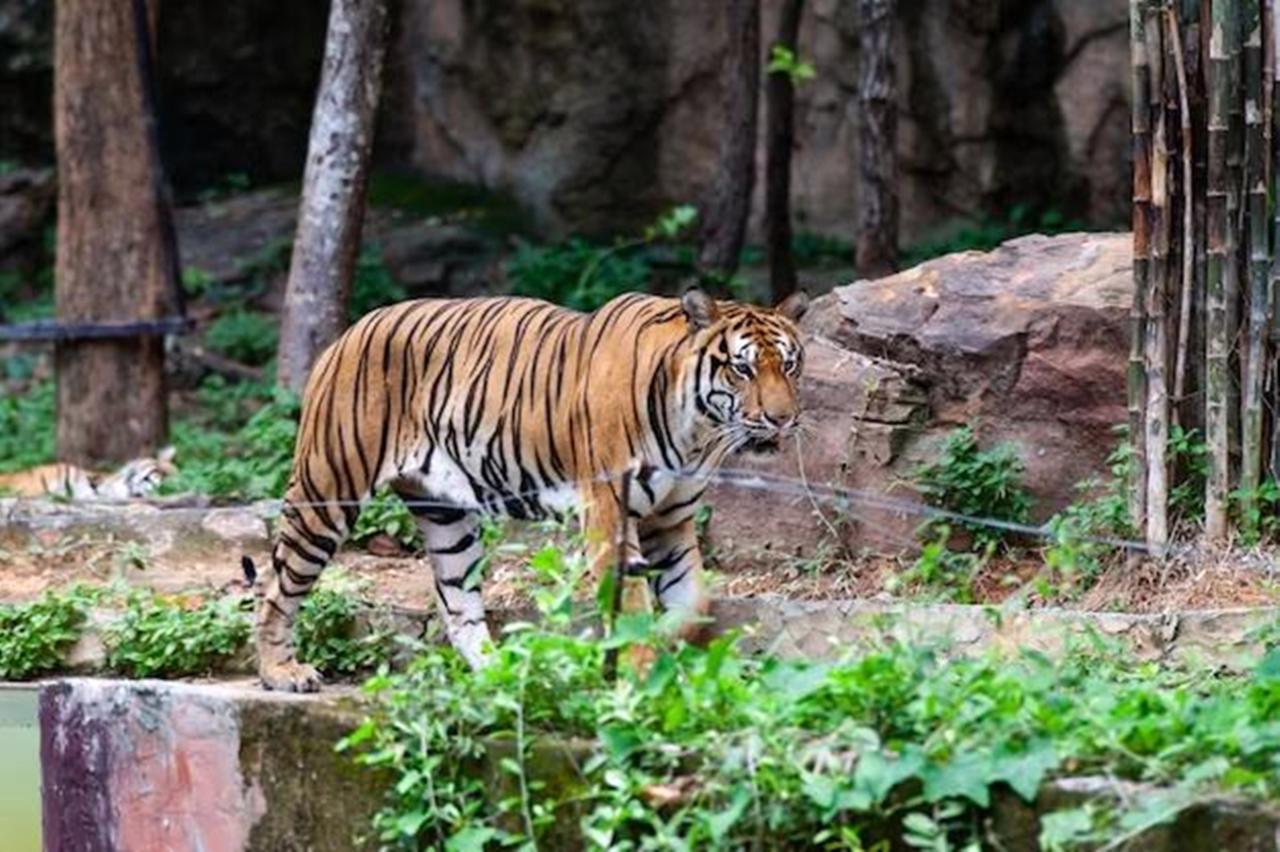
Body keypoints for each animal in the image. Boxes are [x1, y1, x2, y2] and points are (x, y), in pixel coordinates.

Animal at [253, 287, 809, 692]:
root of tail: (346, 333)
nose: (782, 419)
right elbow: (631, 605)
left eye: (789, 365)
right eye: (742, 369)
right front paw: (636, 671)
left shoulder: (669, 519)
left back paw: (502, 673)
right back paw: (282, 673)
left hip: (446, 517)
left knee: (457, 605)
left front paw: (656, 653)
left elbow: (693, 602)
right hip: (328, 488)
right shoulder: (608, 512)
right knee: (278, 586)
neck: (697, 430)